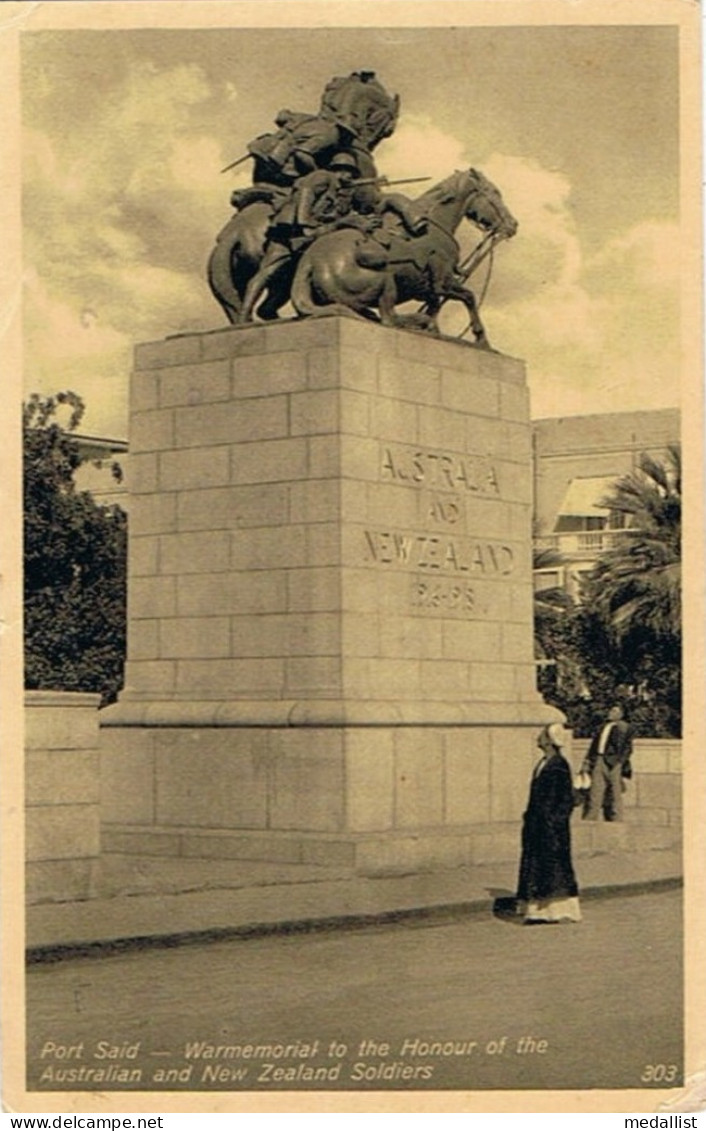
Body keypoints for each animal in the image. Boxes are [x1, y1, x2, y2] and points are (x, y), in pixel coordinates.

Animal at [289, 167, 515, 341]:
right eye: (495, 193)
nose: (513, 225)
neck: (434, 224)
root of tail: (309, 260)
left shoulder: (430, 289)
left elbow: (437, 305)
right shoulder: (442, 282)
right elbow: (469, 296)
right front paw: (480, 337)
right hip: (386, 280)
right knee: (389, 318)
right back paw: (419, 322)